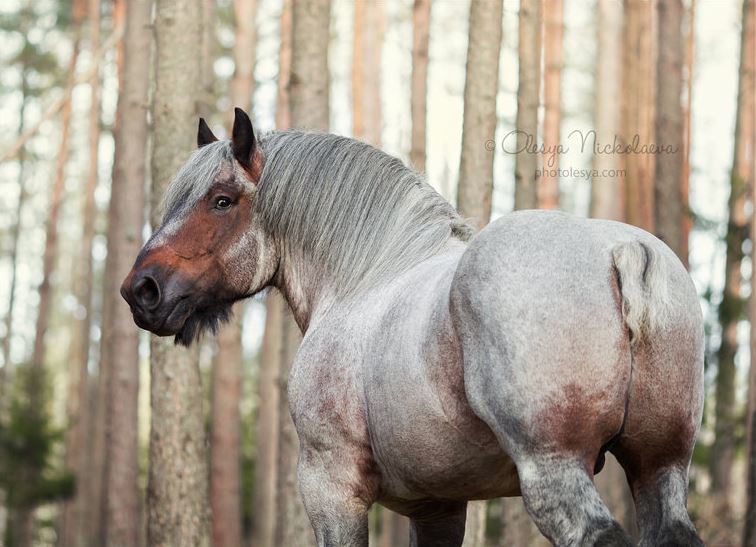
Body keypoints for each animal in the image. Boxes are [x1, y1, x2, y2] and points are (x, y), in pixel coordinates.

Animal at [121, 109, 704, 544]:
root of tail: (620, 251)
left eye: (221, 200)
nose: (140, 290)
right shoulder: (437, 504)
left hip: (554, 470)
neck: (364, 276)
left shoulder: (331, 489)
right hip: (660, 470)